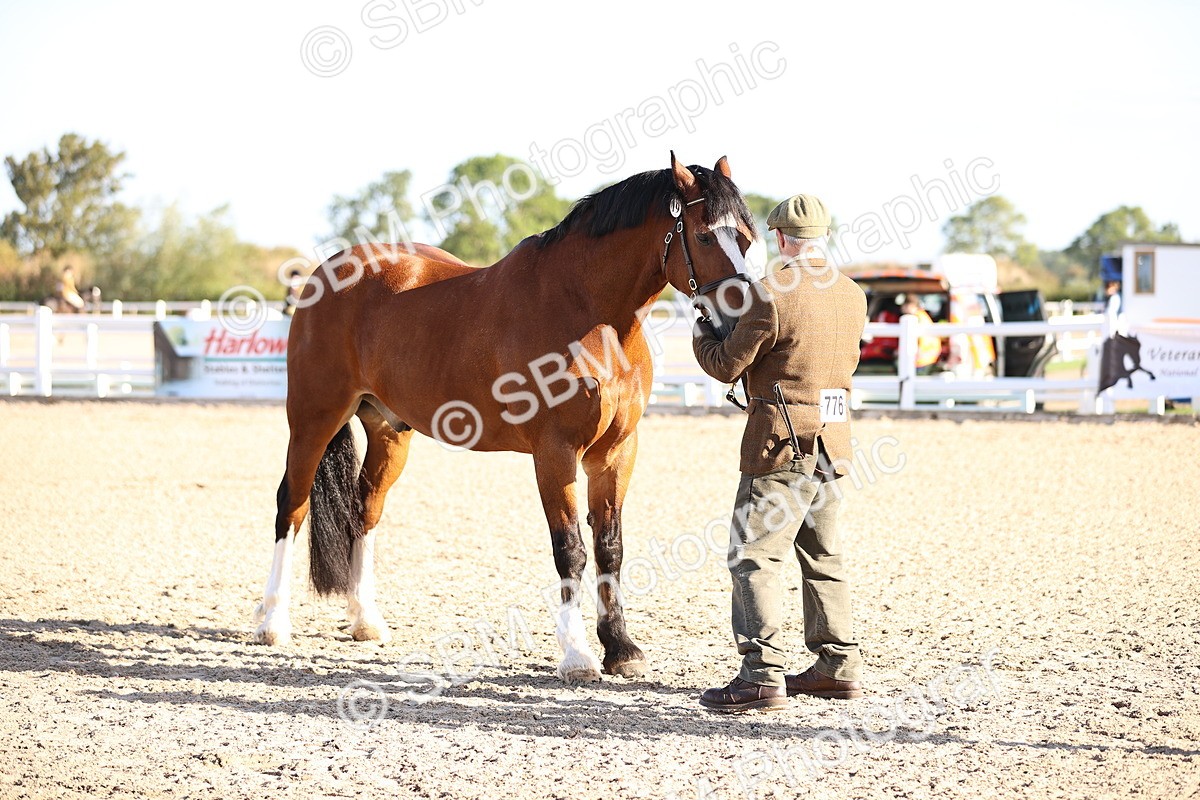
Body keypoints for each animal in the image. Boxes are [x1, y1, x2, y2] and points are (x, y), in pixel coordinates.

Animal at [252, 152, 758, 683]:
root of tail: (328, 272)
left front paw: (621, 648)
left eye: (746, 237)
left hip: (389, 430)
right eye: (704, 236)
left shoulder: (616, 452)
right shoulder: (555, 452)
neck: (591, 312)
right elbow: (571, 549)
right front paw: (577, 655)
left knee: (364, 510)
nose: (745, 320)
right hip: (314, 417)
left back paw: (365, 619)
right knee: (292, 506)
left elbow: (610, 547)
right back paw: (273, 622)